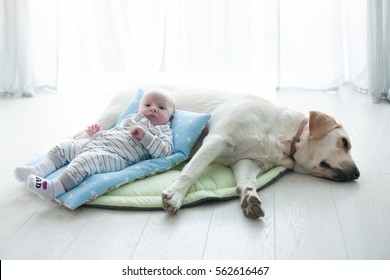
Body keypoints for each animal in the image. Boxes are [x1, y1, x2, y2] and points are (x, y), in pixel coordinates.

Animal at [81, 85, 360, 219]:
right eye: (344, 142)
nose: (357, 173)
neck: (285, 136)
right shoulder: (217, 139)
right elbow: (192, 171)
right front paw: (175, 195)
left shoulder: (247, 162)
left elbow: (246, 182)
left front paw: (250, 198)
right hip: (110, 118)